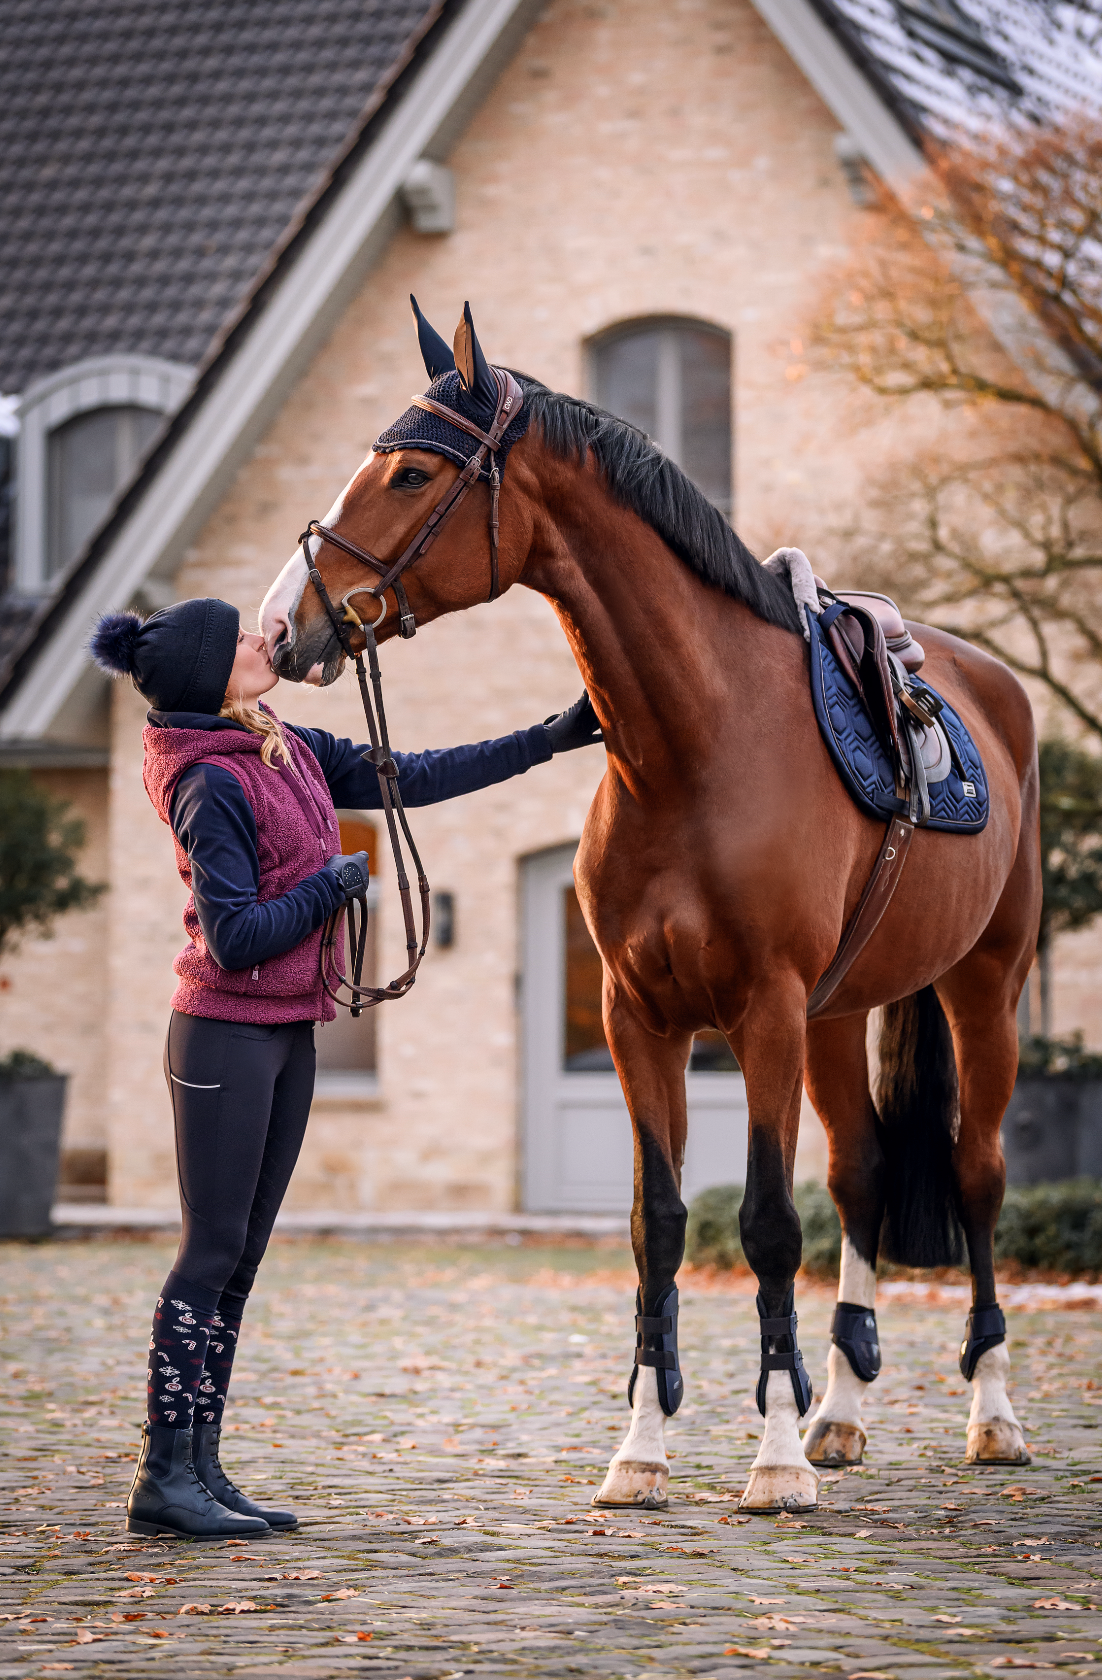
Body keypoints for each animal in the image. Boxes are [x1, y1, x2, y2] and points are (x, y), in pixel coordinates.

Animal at [262, 305, 1034, 1525]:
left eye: (411, 472)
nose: (283, 624)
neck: (694, 747)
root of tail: (991, 686)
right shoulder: (640, 1020)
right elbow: (657, 1223)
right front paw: (643, 1448)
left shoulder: (760, 1014)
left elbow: (765, 1222)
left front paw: (770, 1460)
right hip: (836, 1016)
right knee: (862, 1173)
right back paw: (840, 1413)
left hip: (981, 987)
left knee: (975, 1175)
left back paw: (990, 1416)